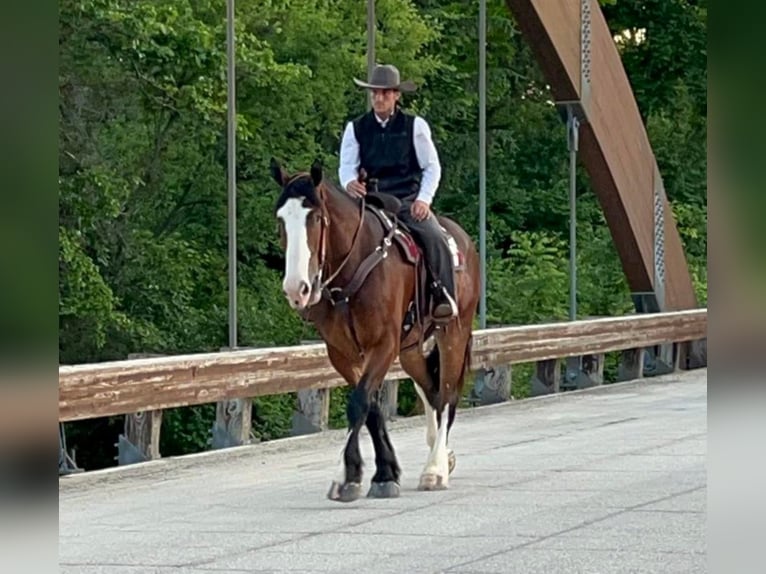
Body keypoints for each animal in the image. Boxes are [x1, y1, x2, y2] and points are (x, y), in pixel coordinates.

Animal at [270, 159, 480, 504]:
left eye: (316, 218)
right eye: (281, 220)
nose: (296, 289)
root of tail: (465, 242)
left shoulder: (383, 345)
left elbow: (359, 403)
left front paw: (348, 477)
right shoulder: (342, 353)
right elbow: (370, 408)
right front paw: (382, 473)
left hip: (453, 334)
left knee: (448, 393)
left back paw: (435, 469)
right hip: (411, 350)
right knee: (432, 392)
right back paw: (443, 457)